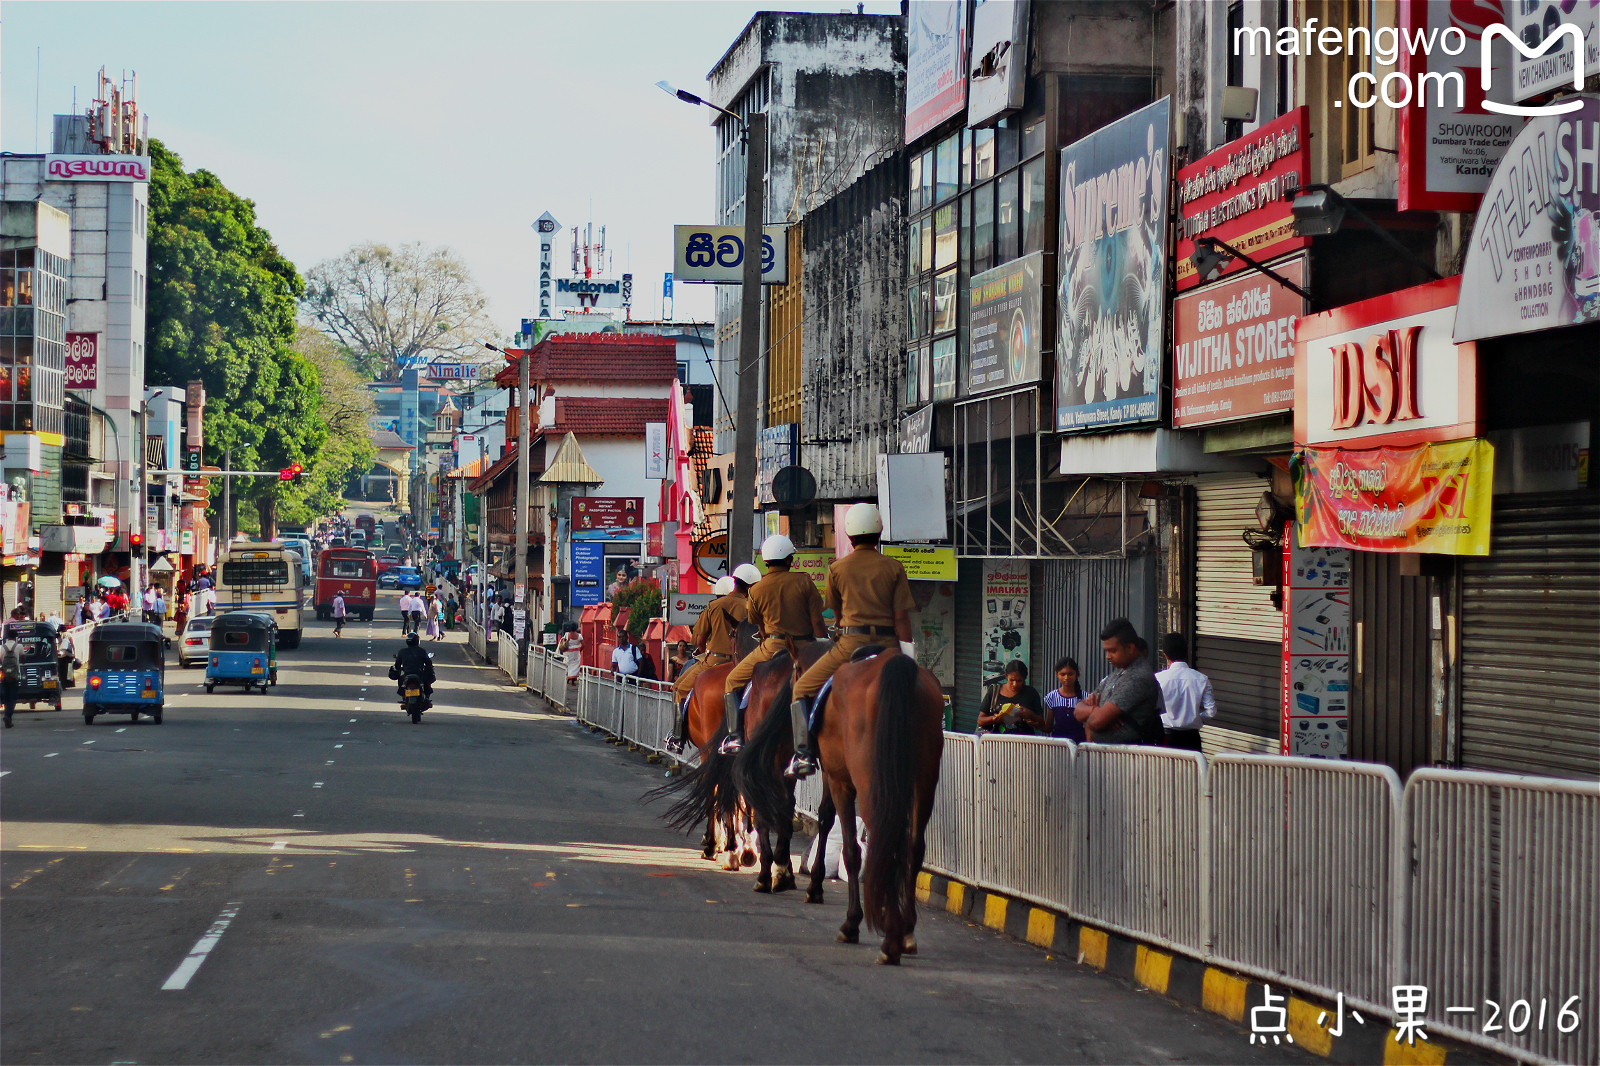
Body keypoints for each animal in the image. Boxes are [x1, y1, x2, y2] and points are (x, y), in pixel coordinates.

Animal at [742, 643, 940, 960]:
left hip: (872, 783)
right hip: (923, 780)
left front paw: (848, 918)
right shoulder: (832, 773)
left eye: (797, 670)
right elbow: (825, 817)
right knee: (912, 847)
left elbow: (844, 841)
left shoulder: (838, 779)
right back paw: (906, 930)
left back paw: (888, 936)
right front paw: (813, 884)